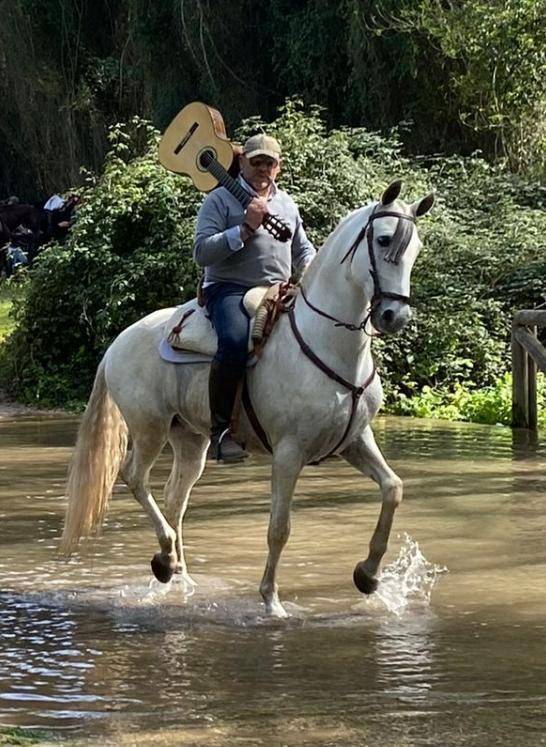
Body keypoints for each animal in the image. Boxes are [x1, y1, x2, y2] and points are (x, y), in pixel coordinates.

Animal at [60, 180, 434, 618]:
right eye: (384, 239)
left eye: (416, 247)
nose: (394, 316)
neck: (328, 341)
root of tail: (119, 340)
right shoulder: (289, 453)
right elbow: (279, 528)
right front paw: (271, 601)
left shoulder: (355, 441)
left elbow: (393, 489)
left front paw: (368, 575)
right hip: (150, 429)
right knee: (135, 478)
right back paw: (166, 559)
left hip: (191, 440)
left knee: (174, 498)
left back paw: (180, 573)